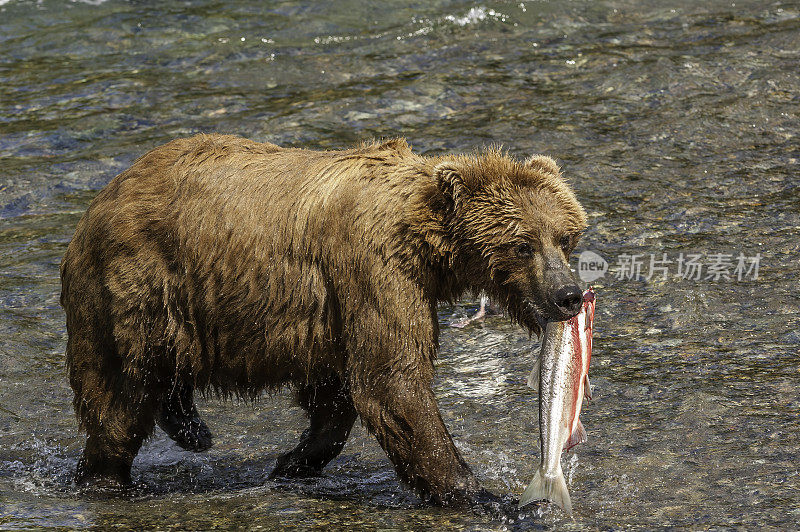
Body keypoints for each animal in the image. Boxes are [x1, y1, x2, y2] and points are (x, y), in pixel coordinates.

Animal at [61, 133, 588, 508]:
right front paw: (484, 496)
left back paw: (191, 428)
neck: (426, 245)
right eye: (522, 244)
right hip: (135, 285)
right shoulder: (372, 269)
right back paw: (106, 478)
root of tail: (97, 203)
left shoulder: (334, 312)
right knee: (121, 396)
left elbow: (335, 398)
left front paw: (291, 462)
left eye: (565, 237)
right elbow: (391, 382)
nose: (569, 295)